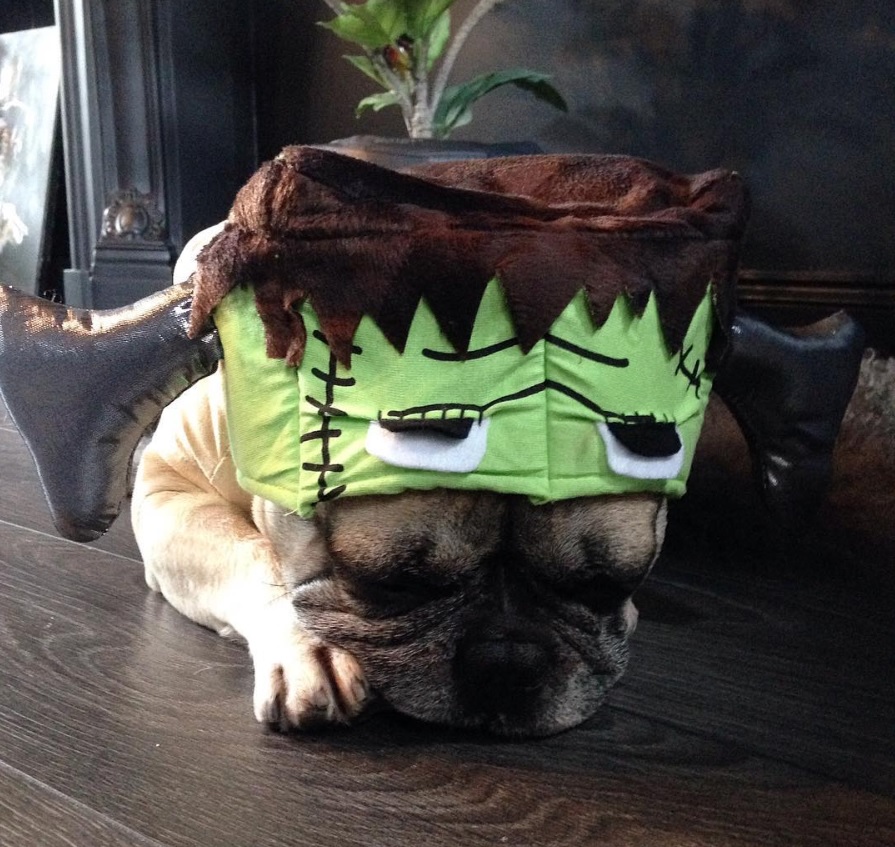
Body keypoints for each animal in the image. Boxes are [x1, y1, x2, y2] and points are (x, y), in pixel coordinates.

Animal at [131, 362, 664, 740]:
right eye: (394, 584)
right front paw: (311, 648)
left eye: (606, 586)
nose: (507, 660)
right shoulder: (169, 487)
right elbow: (253, 555)